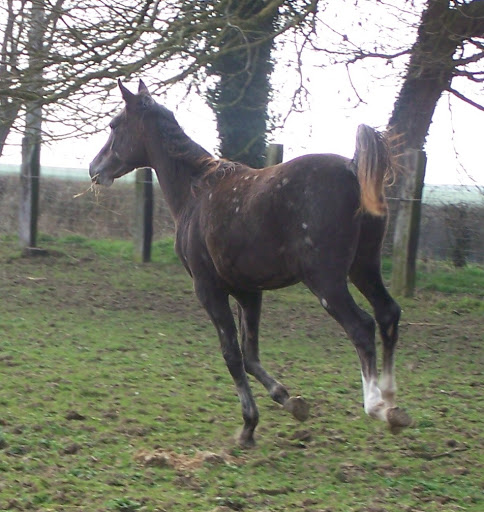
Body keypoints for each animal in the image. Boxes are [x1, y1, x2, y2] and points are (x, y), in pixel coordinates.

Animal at [89, 78, 410, 446]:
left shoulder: (208, 289)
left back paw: (376, 405)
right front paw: (291, 401)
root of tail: (353, 167)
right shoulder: (248, 292)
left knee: (361, 326)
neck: (195, 192)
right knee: (387, 314)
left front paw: (248, 425)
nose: (94, 169)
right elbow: (251, 354)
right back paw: (392, 405)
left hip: (326, 280)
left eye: (115, 125)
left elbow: (232, 354)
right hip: (364, 267)